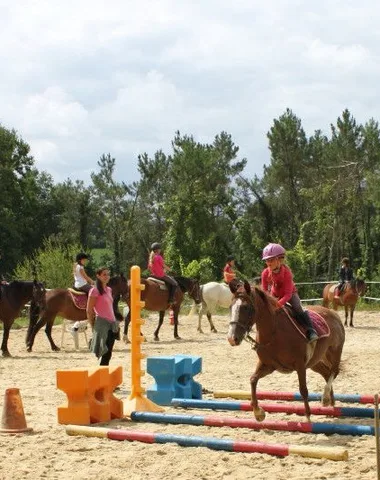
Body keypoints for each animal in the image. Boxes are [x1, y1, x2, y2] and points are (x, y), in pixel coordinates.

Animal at [227, 284, 346, 422]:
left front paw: (308, 418)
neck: (274, 333)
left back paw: (326, 397)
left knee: (334, 371)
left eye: (245, 307)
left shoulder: (300, 365)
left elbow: (303, 390)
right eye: (230, 307)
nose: (232, 338)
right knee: (327, 373)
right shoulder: (268, 365)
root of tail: (333, 314)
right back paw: (330, 404)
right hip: (315, 362)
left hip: (335, 351)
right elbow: (253, 380)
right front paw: (258, 413)